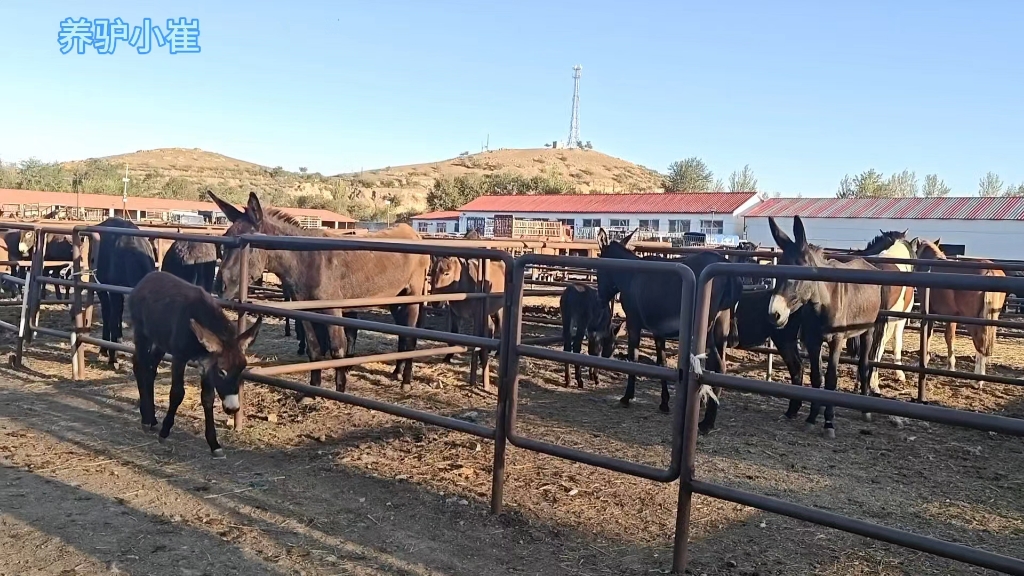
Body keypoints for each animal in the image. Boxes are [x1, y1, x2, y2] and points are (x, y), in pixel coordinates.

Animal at [128, 268, 262, 457]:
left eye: (242, 369)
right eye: (222, 371)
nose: (233, 408)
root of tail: (147, 278)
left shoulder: (206, 365)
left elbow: (208, 398)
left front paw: (214, 444)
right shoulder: (179, 357)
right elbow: (177, 393)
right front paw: (165, 432)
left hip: (160, 342)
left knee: (150, 369)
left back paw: (152, 419)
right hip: (142, 334)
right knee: (139, 365)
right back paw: (146, 420)